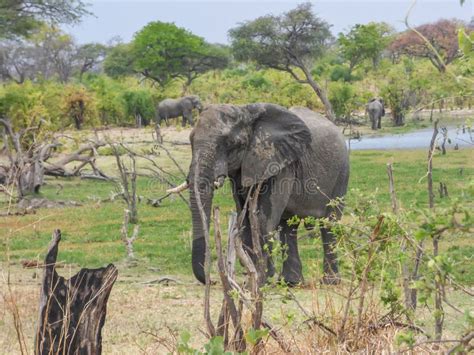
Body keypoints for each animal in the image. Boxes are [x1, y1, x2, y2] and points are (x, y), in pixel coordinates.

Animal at [183, 103, 350, 286]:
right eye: (190, 140)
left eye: (231, 143)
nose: (212, 281)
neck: (246, 112)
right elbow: (245, 218)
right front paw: (253, 278)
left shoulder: (280, 164)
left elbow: (262, 218)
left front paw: (260, 280)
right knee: (288, 226)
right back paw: (291, 282)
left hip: (341, 173)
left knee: (330, 223)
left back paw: (330, 282)